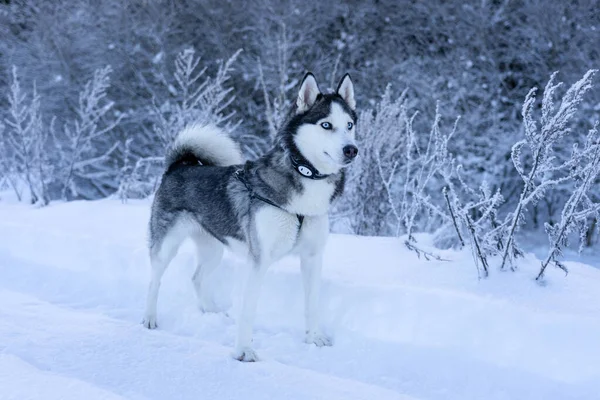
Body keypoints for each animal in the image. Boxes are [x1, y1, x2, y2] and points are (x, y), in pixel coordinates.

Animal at [143, 72, 358, 362]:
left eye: (349, 125)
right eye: (326, 125)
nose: (351, 150)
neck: (304, 176)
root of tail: (180, 165)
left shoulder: (312, 258)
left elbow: (312, 304)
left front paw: (314, 338)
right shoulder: (258, 261)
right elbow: (248, 311)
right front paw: (243, 351)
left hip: (213, 248)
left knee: (197, 277)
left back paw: (212, 311)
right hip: (167, 245)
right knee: (154, 280)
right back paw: (149, 318)